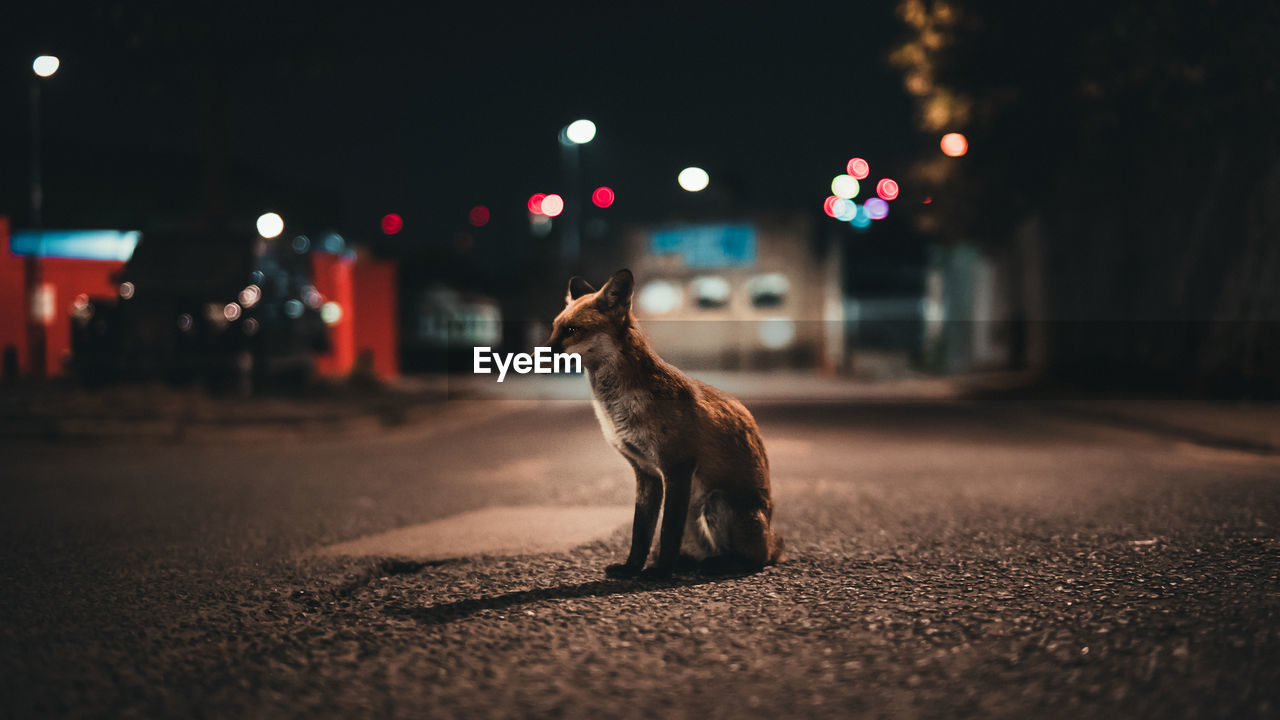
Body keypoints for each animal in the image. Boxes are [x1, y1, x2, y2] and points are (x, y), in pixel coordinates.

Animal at [547, 267, 783, 576]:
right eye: (554, 328)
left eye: (572, 330)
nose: (534, 356)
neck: (617, 409)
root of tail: (772, 539)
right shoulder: (646, 472)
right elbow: (641, 531)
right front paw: (631, 568)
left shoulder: (678, 466)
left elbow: (668, 529)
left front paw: (659, 574)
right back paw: (689, 563)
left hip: (716, 503)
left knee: (754, 559)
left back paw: (719, 563)